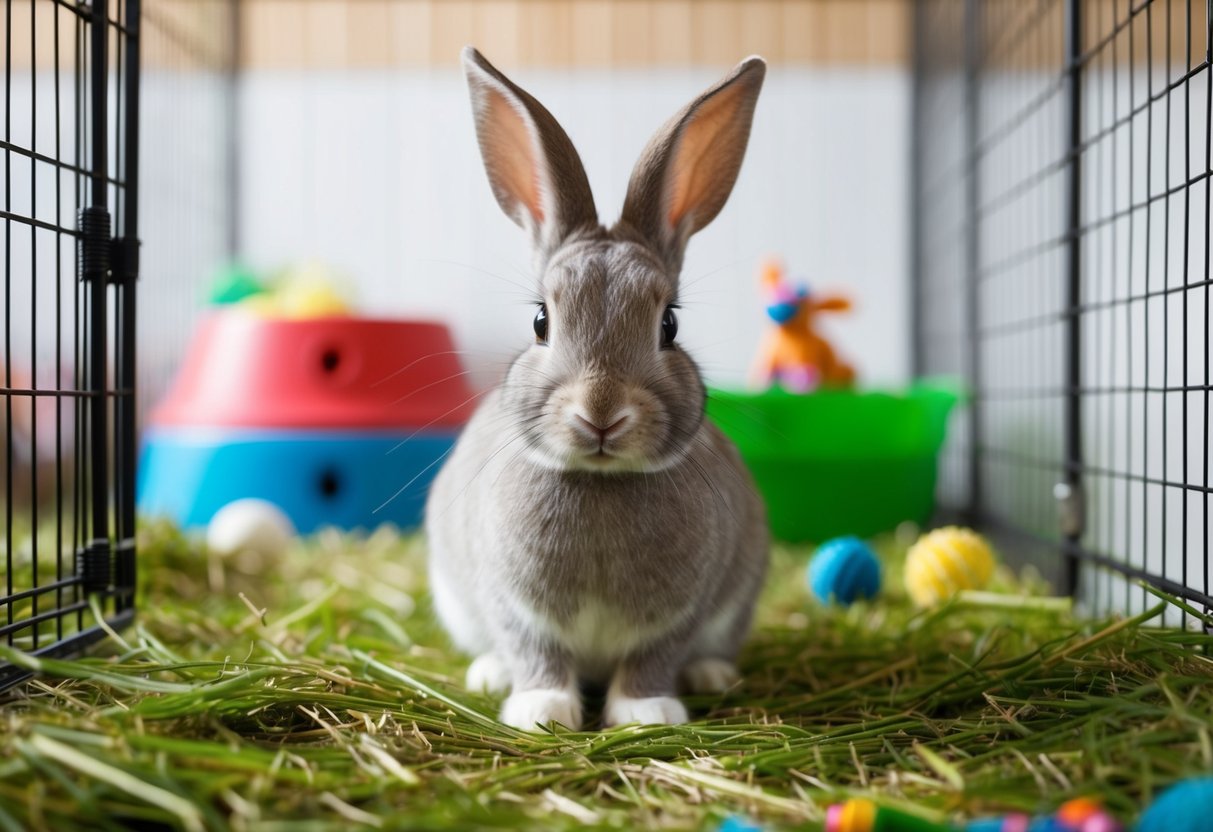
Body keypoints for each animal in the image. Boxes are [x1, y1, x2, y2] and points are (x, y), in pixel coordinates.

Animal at [425, 46, 769, 731]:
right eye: (540, 320)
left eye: (669, 325)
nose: (601, 413)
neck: (601, 481)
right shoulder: (512, 606)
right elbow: (535, 652)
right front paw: (541, 711)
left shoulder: (680, 615)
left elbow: (653, 658)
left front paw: (647, 713)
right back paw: (490, 674)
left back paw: (712, 675)